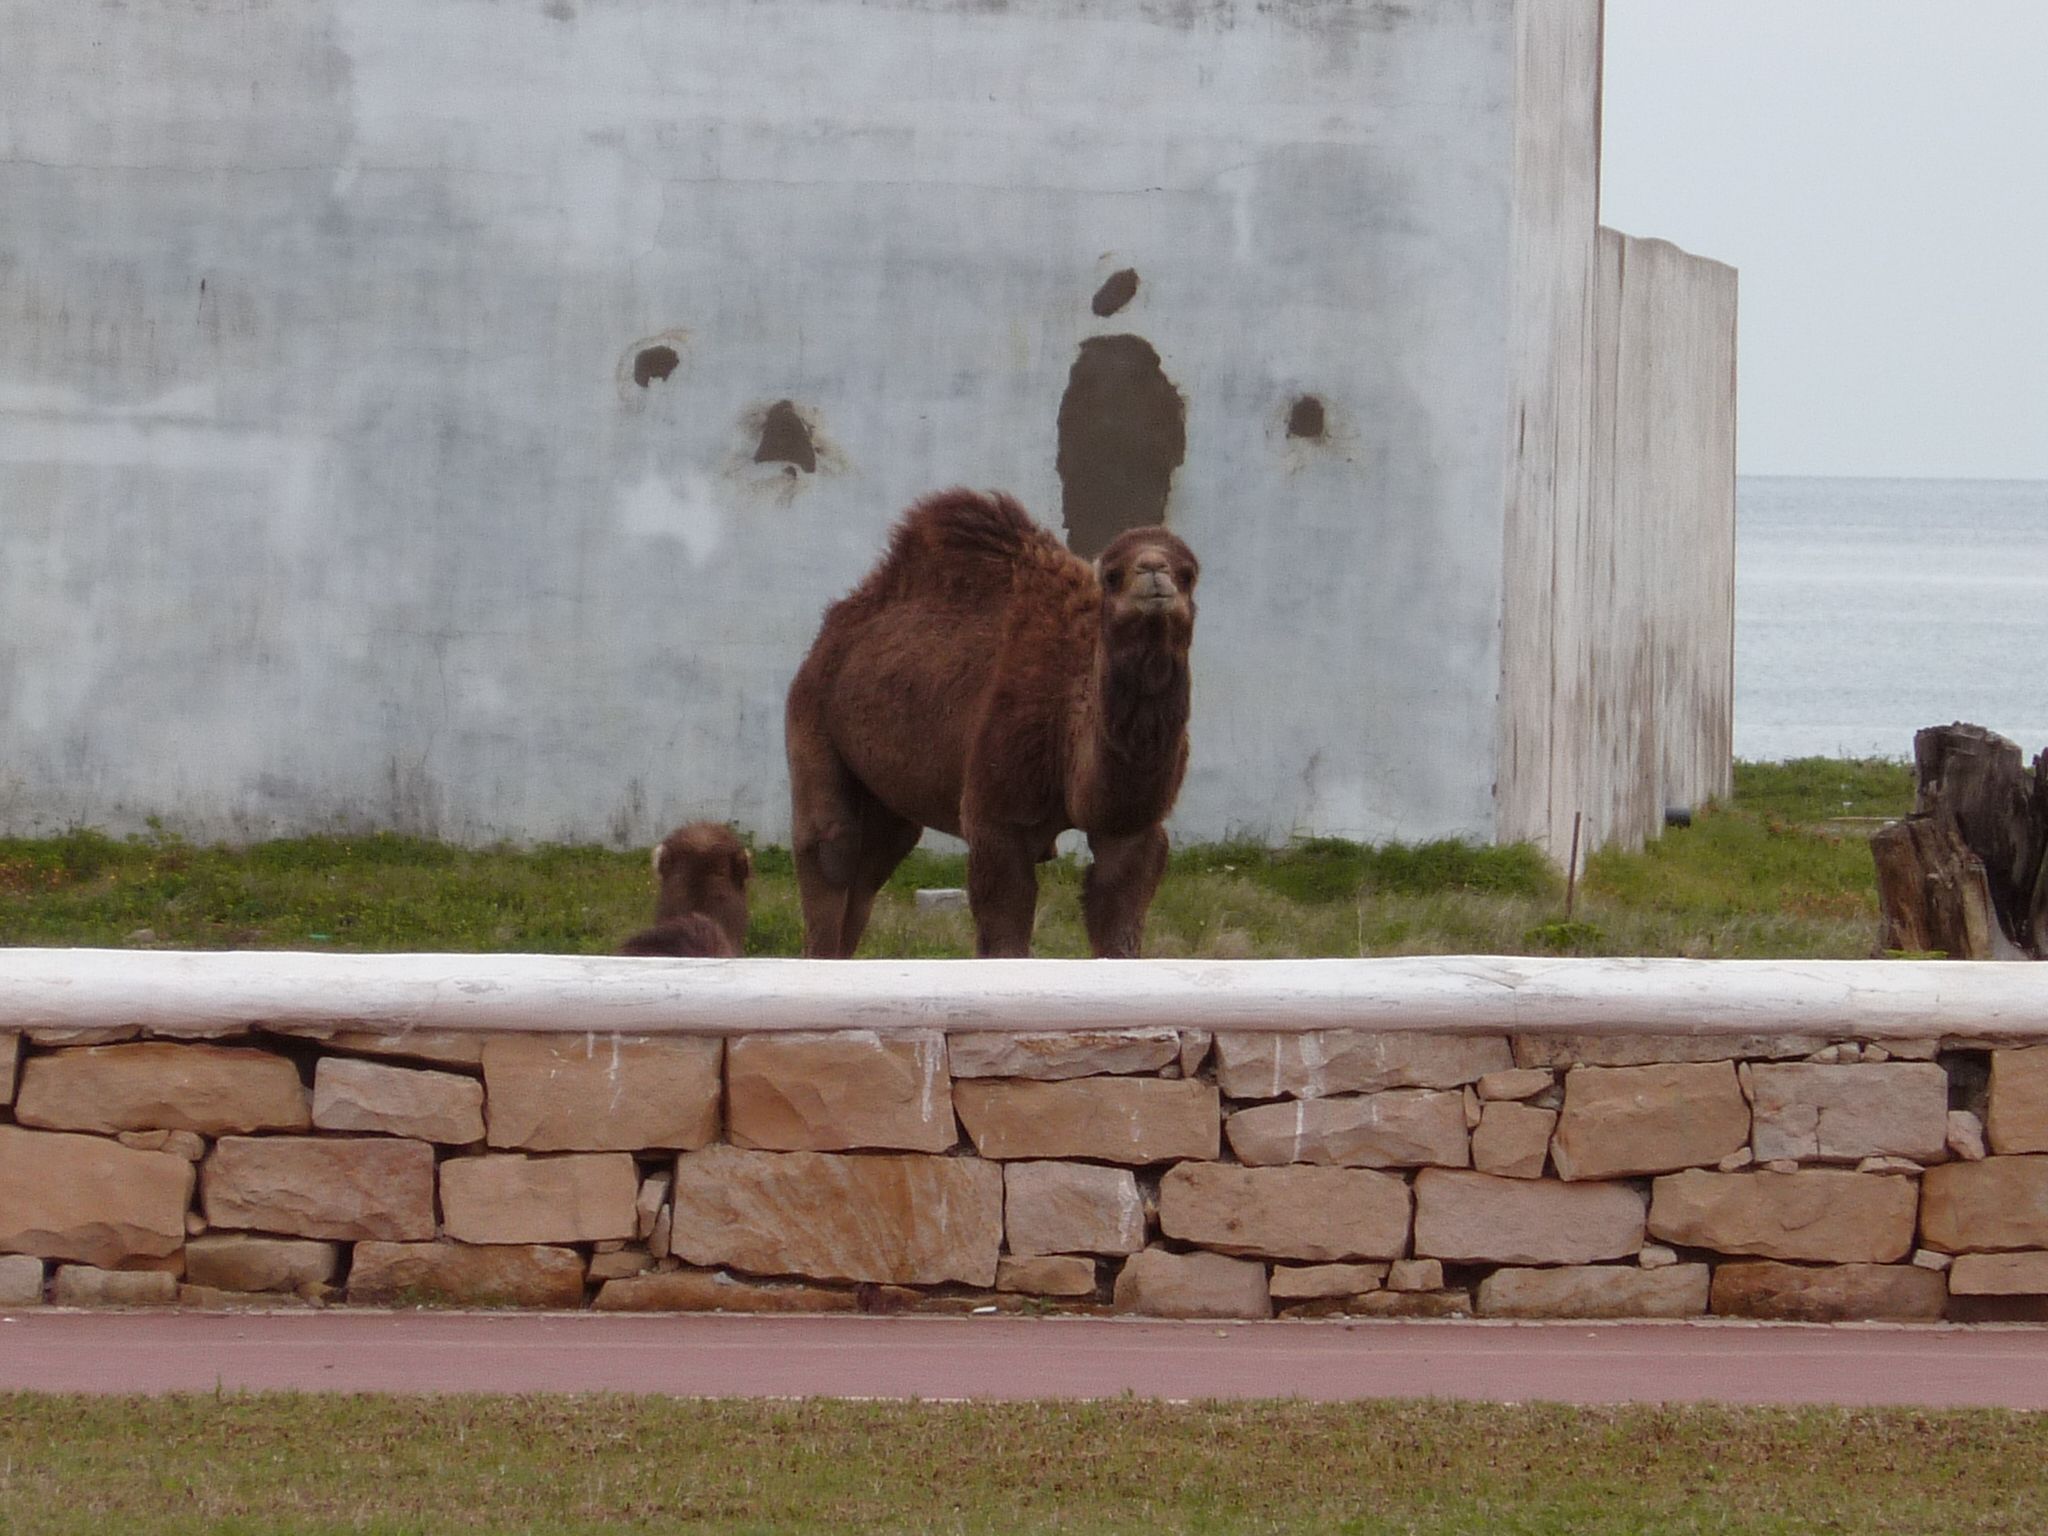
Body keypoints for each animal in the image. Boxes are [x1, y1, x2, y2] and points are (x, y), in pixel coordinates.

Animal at [782, 487, 1196, 958]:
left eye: (1189, 573)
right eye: (1111, 574)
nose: (1154, 571)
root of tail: (828, 636)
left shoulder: (1132, 829)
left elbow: (1119, 923)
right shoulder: (997, 818)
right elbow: (1003, 931)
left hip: (888, 799)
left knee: (873, 866)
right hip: (812, 719)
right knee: (831, 850)